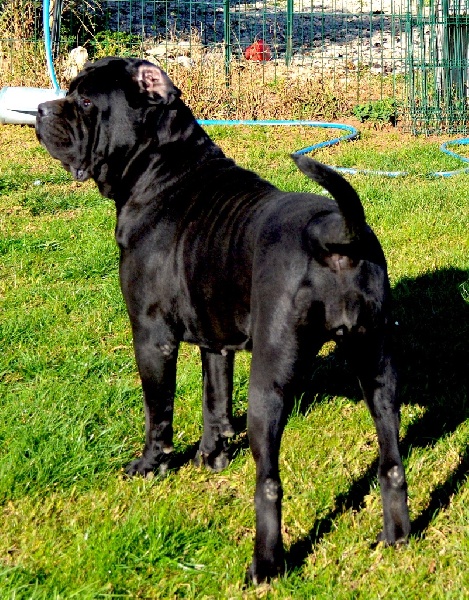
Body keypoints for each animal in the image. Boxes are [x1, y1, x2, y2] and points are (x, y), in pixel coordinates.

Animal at [35, 56, 410, 584]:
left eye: (85, 100)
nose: (40, 110)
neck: (160, 170)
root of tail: (336, 234)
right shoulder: (217, 340)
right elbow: (214, 400)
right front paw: (211, 457)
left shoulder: (151, 334)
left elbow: (158, 410)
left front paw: (152, 465)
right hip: (378, 368)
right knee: (392, 461)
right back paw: (395, 536)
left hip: (270, 381)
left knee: (269, 482)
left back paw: (265, 566)